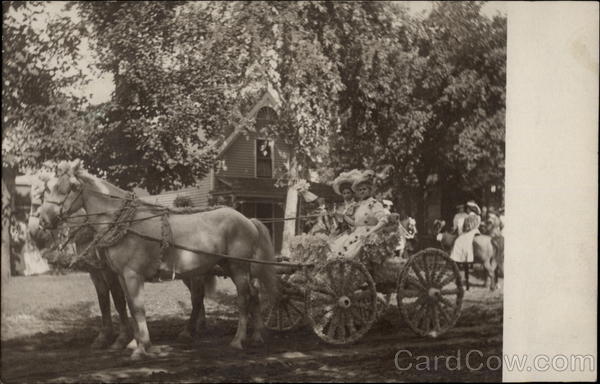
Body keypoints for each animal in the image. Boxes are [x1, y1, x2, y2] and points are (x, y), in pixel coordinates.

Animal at [38, 160, 278, 358]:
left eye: (68, 187)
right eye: (50, 187)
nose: (44, 219)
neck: (124, 224)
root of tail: (247, 219)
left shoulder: (131, 275)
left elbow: (136, 307)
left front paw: (141, 347)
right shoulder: (121, 276)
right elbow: (127, 305)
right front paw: (135, 343)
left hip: (238, 267)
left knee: (243, 298)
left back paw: (237, 340)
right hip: (228, 265)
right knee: (252, 295)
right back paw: (256, 336)